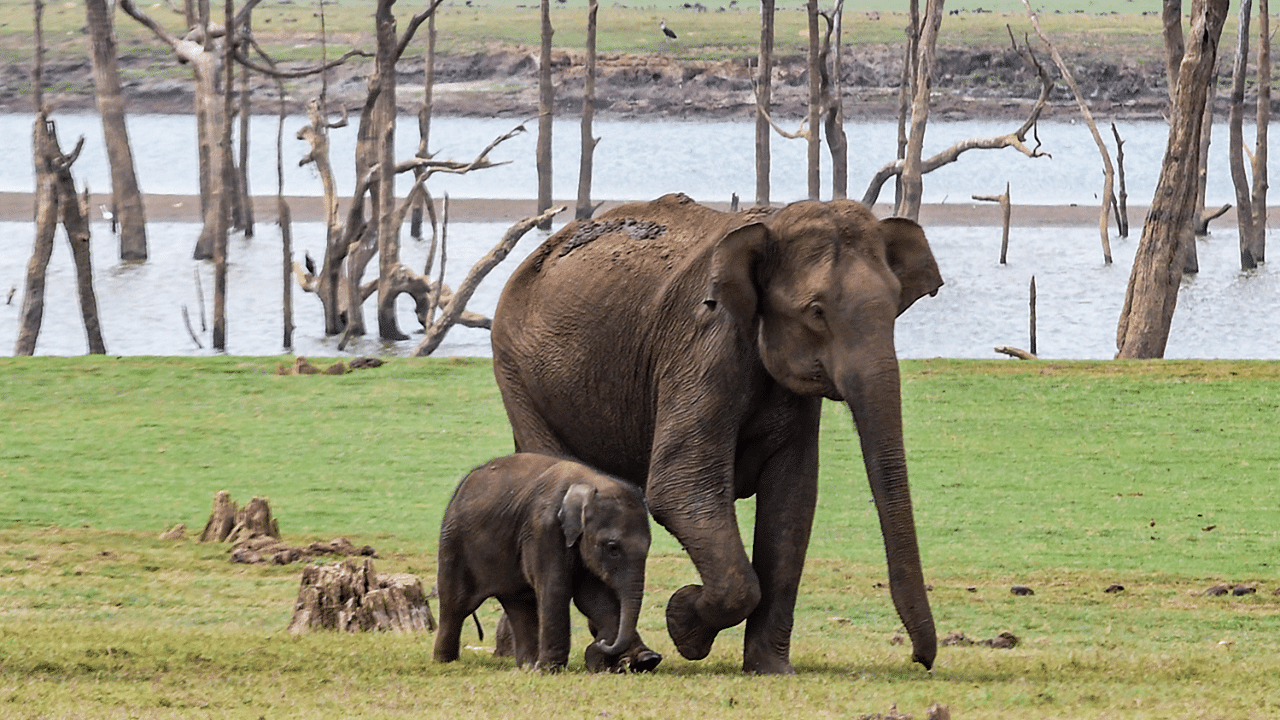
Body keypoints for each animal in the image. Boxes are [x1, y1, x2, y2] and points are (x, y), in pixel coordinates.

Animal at [437, 450, 665, 671]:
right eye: (612, 548)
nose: (601, 644)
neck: (590, 482)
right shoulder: (543, 529)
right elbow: (556, 588)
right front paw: (551, 669)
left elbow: (593, 597)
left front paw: (645, 660)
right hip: (454, 541)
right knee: (456, 602)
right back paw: (446, 661)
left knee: (519, 604)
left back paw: (528, 666)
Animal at [494, 192, 947, 671]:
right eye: (816, 311)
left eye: (896, 307)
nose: (920, 659)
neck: (771, 224)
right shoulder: (703, 346)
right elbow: (681, 488)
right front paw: (684, 625)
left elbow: (792, 503)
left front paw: (769, 670)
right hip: (518, 374)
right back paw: (617, 658)